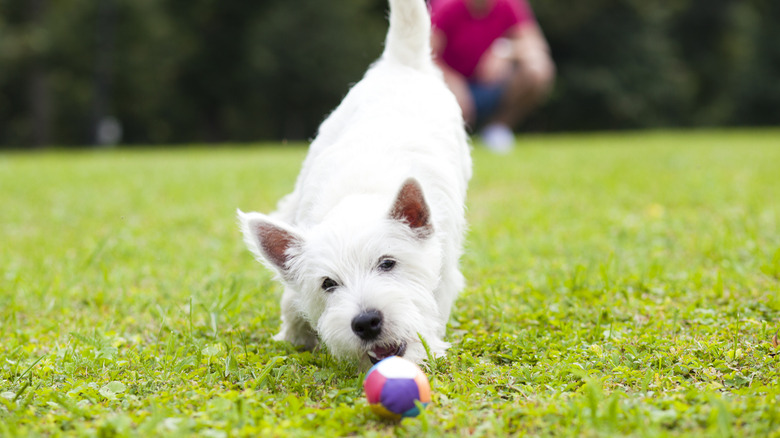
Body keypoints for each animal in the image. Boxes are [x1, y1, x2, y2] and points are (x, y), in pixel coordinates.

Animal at [238, 0, 470, 370]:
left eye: (388, 263)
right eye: (328, 283)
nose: (366, 322)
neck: (359, 196)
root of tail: (400, 63)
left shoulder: (445, 268)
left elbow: (435, 305)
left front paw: (429, 345)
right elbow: (292, 300)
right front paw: (295, 335)